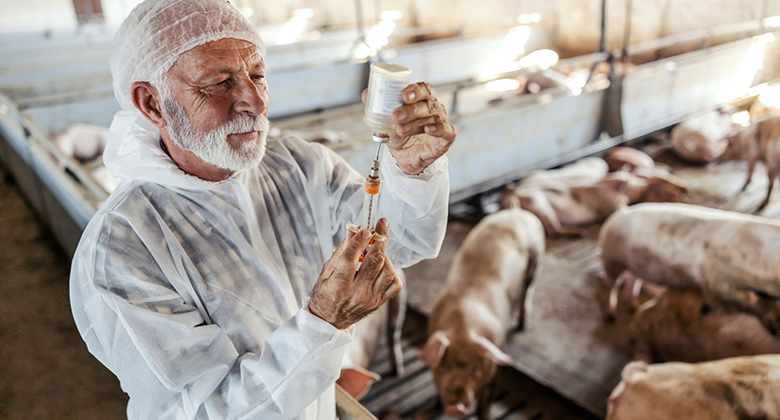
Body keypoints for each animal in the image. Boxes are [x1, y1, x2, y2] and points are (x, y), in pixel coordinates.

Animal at [420, 208, 544, 420]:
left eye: (475, 369)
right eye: (443, 367)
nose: (455, 407)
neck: (463, 328)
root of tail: (516, 210)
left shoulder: (496, 357)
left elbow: (485, 402)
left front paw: (486, 413)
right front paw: (436, 405)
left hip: (536, 260)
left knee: (528, 291)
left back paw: (522, 326)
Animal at [600, 203, 780, 334]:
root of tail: (620, 211)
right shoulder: (715, 282)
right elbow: (741, 300)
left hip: (635, 266)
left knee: (633, 279)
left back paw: (634, 306)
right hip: (611, 259)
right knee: (612, 285)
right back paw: (610, 316)